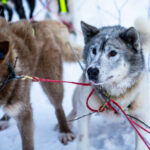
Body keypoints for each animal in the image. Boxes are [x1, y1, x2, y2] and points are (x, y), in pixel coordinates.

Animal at [0, 18, 82, 150]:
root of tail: (40, 23)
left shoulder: (25, 114)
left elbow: (27, 143)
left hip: (50, 82)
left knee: (58, 107)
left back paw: (64, 131)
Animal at [67, 17, 150, 150]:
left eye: (113, 53)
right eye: (94, 50)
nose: (91, 71)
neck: (114, 94)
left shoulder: (142, 115)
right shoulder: (84, 108)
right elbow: (83, 137)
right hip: (77, 97)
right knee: (73, 110)